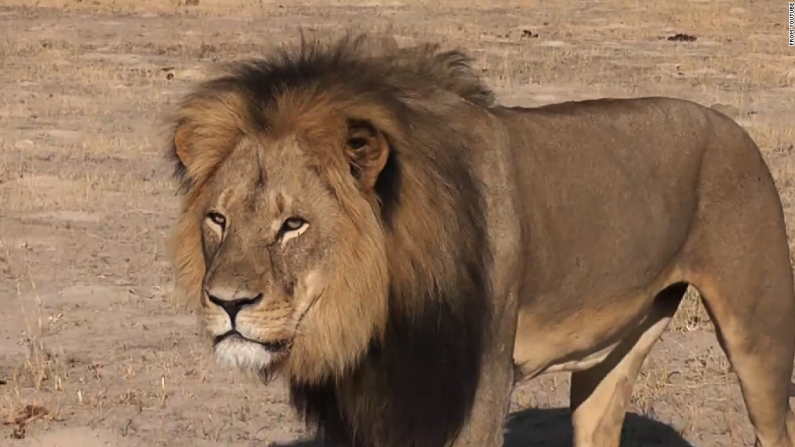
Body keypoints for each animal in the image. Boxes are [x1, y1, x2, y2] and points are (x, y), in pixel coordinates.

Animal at [163, 35, 795, 447]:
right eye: (217, 219)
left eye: (293, 224)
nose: (227, 303)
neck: (375, 319)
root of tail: (728, 123)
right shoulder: (367, 406)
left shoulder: (478, 390)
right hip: (615, 352)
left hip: (758, 339)